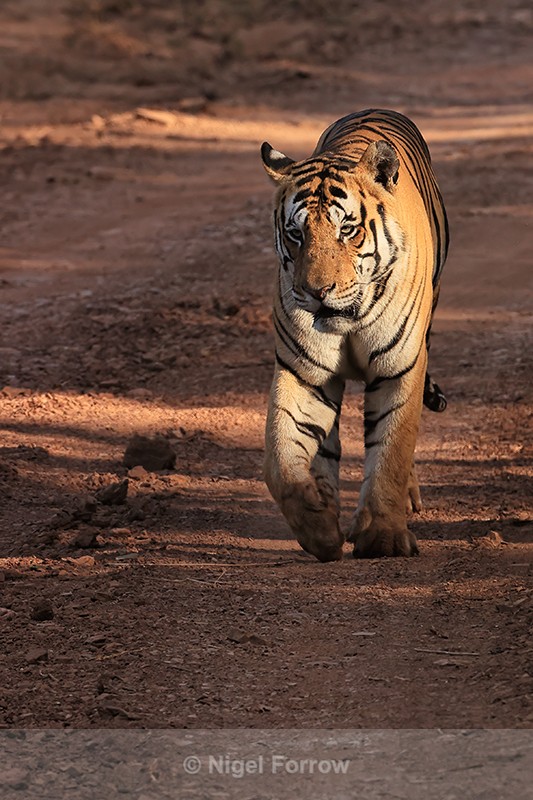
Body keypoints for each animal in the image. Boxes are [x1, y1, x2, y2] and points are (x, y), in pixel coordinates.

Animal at [260, 108, 449, 562]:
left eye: (347, 230)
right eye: (296, 234)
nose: (317, 292)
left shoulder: (400, 369)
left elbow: (392, 451)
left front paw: (383, 538)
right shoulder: (303, 373)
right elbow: (280, 459)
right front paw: (318, 527)